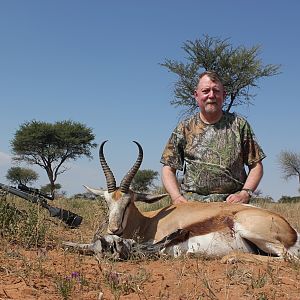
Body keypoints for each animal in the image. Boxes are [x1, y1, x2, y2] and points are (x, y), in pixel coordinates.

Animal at [68, 141, 300, 260]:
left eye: (129, 202)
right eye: (107, 202)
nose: (114, 229)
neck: (149, 222)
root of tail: (291, 230)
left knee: (287, 258)